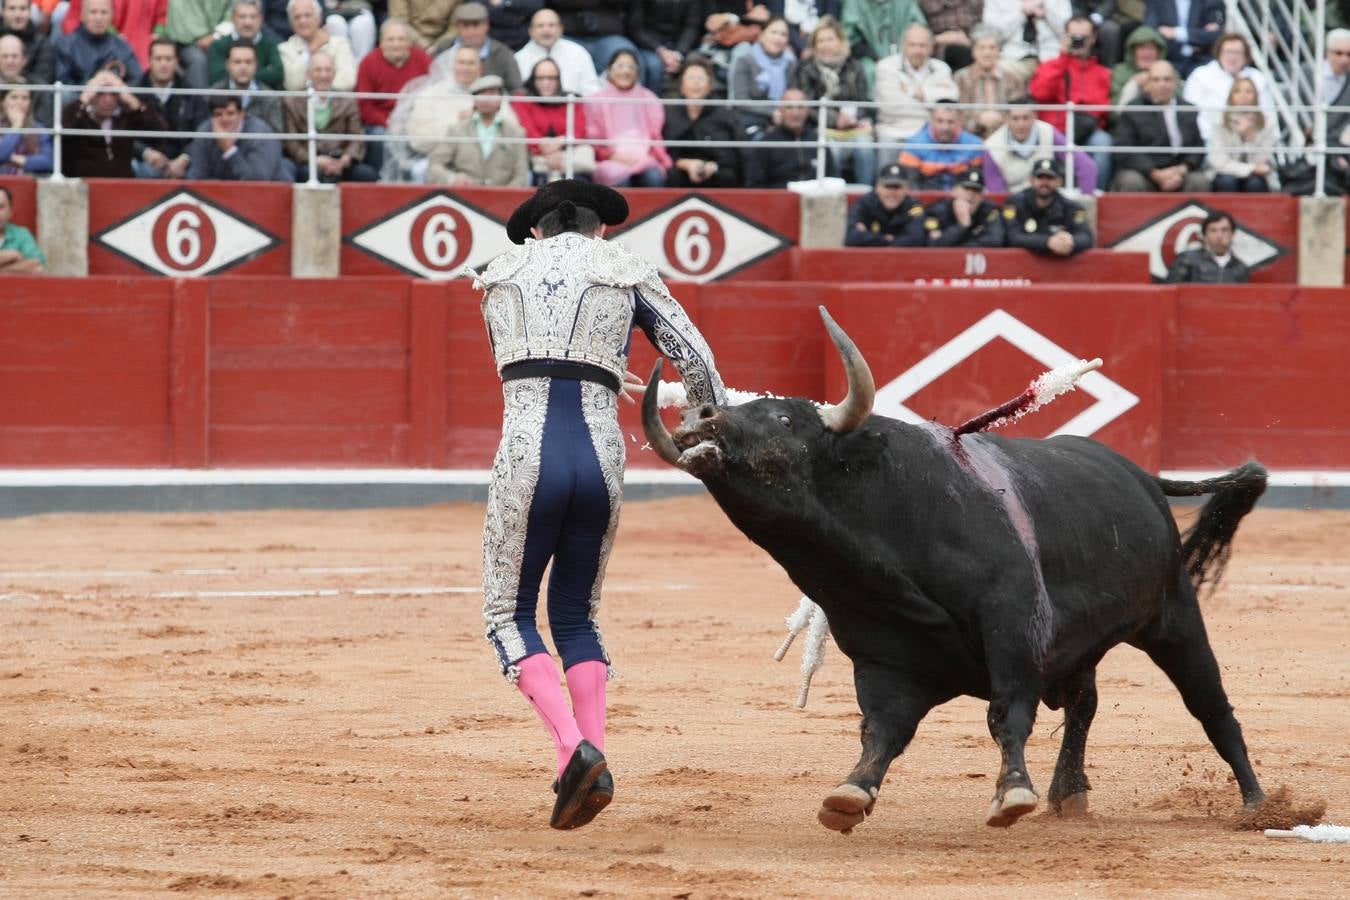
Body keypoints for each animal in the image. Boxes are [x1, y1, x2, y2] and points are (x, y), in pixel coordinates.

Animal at [642, 307, 1263, 831]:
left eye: (783, 417)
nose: (700, 416)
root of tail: (1141, 475)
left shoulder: (1014, 629)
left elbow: (1006, 712)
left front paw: (1012, 794)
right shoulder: (884, 656)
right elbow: (882, 729)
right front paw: (850, 794)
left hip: (1173, 617)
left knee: (1210, 705)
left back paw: (1258, 804)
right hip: (1085, 642)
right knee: (1085, 703)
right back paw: (1069, 794)